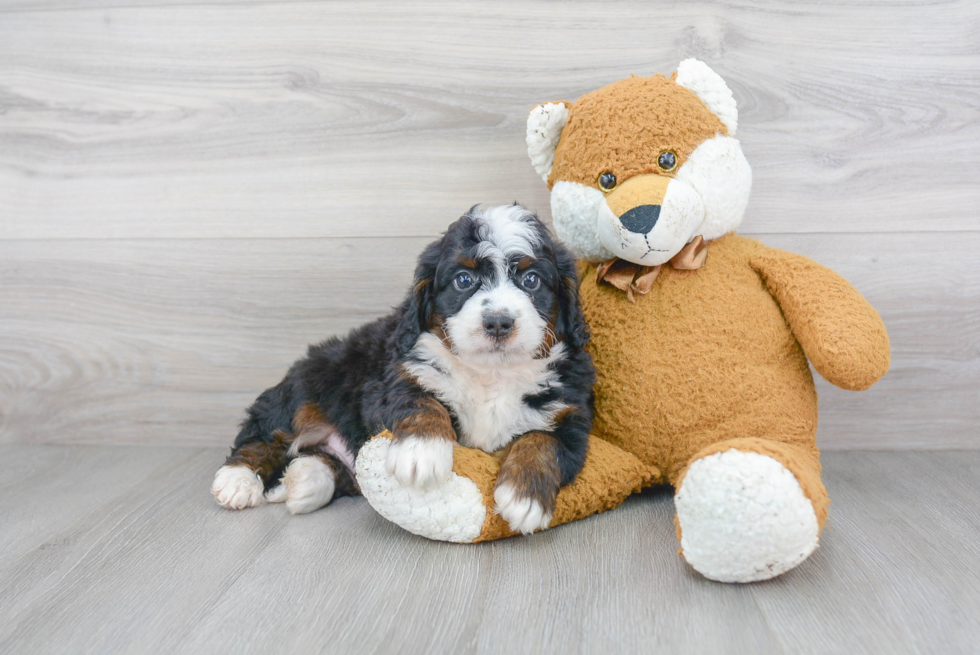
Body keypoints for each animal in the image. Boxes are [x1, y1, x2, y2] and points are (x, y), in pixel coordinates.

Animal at [213, 205, 592, 532]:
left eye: (531, 281)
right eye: (464, 280)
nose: (498, 322)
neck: (491, 373)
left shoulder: (571, 414)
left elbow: (542, 441)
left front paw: (524, 496)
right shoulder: (396, 375)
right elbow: (421, 402)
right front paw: (421, 453)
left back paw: (304, 480)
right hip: (307, 386)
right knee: (265, 434)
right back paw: (238, 481)